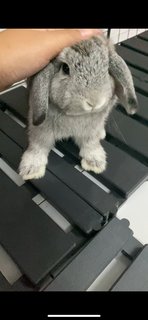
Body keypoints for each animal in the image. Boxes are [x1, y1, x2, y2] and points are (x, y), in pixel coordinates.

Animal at [18, 35, 138, 180]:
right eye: (65, 68)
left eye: (106, 69)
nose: (94, 102)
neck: (75, 115)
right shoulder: (41, 130)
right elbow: (38, 146)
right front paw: (31, 170)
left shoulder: (90, 130)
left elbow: (90, 144)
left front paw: (95, 163)